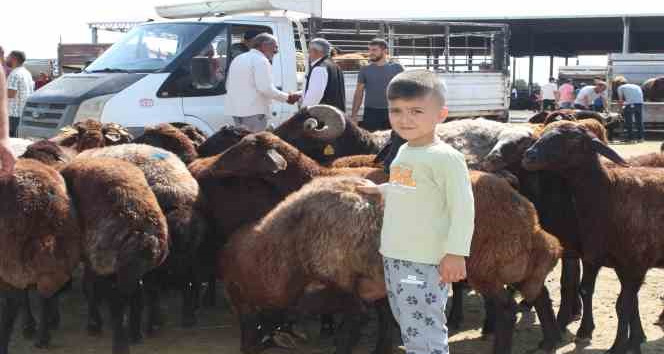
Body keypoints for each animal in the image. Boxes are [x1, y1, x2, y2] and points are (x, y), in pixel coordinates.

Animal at [0, 159, 81, 352]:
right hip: (64, 251)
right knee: (47, 291)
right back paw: (44, 330)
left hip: (11, 262)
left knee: (14, 304)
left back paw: (32, 331)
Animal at [222, 174, 560, 354]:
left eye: (250, 315)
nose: (244, 349)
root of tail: (530, 219)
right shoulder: (374, 281)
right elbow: (385, 316)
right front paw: (381, 348)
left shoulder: (345, 286)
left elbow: (353, 326)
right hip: (513, 266)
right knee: (540, 295)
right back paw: (549, 340)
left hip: (485, 268)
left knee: (507, 309)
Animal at [524, 123, 664, 352]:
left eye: (573, 139)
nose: (529, 155)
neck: (610, 194)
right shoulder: (617, 264)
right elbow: (625, 303)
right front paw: (634, 340)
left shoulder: (635, 264)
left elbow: (623, 305)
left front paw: (617, 346)